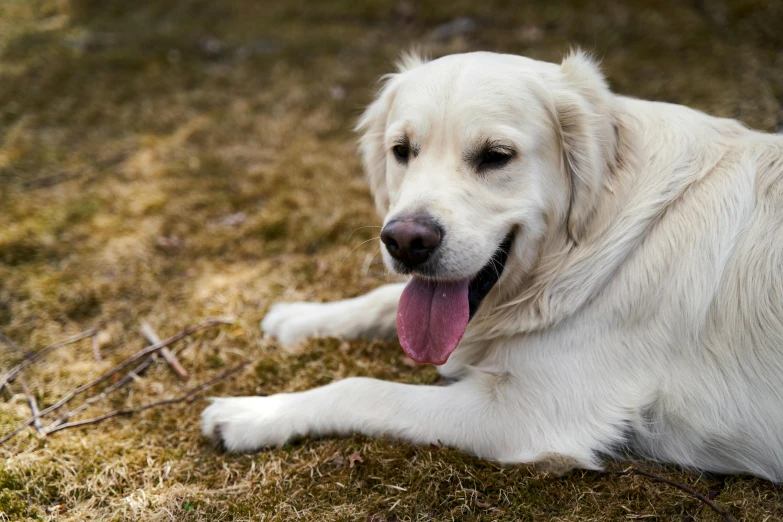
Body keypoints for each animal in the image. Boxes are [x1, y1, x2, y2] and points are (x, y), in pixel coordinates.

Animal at [202, 51, 783, 480]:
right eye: (402, 149)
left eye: (496, 156)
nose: (406, 241)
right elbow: (385, 301)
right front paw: (301, 316)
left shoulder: (527, 413)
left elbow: (362, 389)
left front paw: (253, 413)